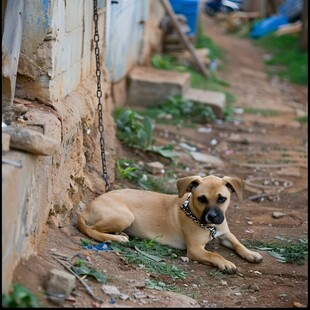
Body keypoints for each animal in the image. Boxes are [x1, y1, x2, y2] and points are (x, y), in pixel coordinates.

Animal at [77, 176, 262, 272]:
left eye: (222, 199)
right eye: (201, 199)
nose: (212, 217)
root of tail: (86, 209)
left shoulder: (225, 234)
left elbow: (238, 243)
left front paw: (251, 253)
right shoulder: (194, 249)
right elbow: (214, 255)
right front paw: (225, 262)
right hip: (125, 216)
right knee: (92, 229)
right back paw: (118, 238)